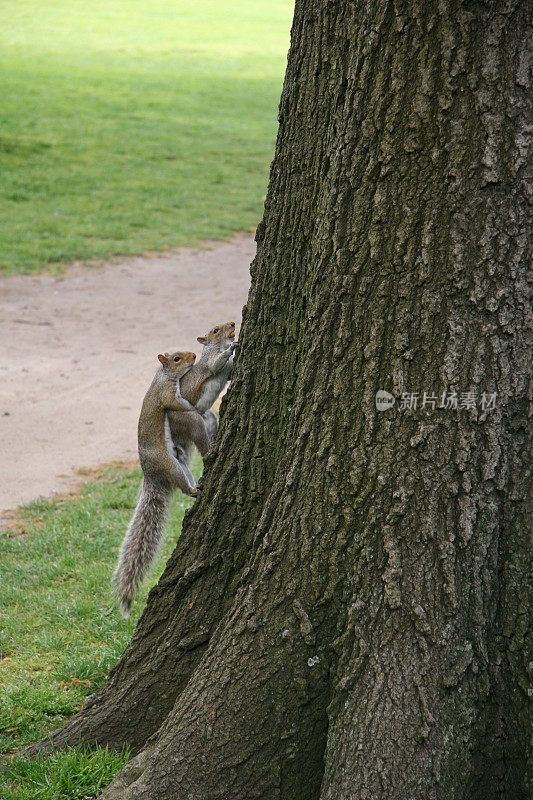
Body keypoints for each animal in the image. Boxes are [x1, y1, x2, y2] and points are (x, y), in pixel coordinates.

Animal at [113, 350, 211, 620]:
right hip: (170, 465)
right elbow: (180, 405)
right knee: (182, 487)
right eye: (177, 358)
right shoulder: (166, 395)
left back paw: (197, 486)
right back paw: (194, 491)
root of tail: (151, 475)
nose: (194, 355)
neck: (162, 376)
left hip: (180, 466)